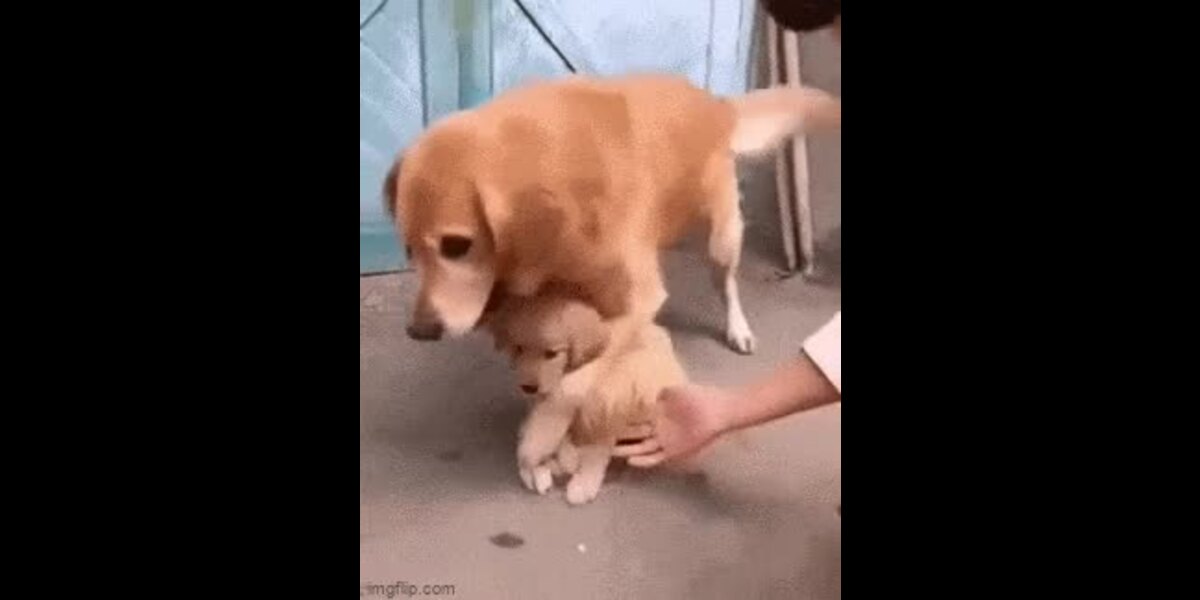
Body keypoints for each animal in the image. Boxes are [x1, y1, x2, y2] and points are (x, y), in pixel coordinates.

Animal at [385, 74, 840, 358]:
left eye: (456, 246)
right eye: (408, 250)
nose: (418, 331)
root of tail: (714, 103)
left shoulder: (637, 299)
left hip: (723, 239)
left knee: (726, 285)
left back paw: (738, 329)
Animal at [487, 292, 687, 505]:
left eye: (551, 353)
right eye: (519, 349)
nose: (528, 388)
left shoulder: (604, 406)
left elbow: (594, 449)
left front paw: (582, 481)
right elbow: (544, 433)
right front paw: (544, 465)